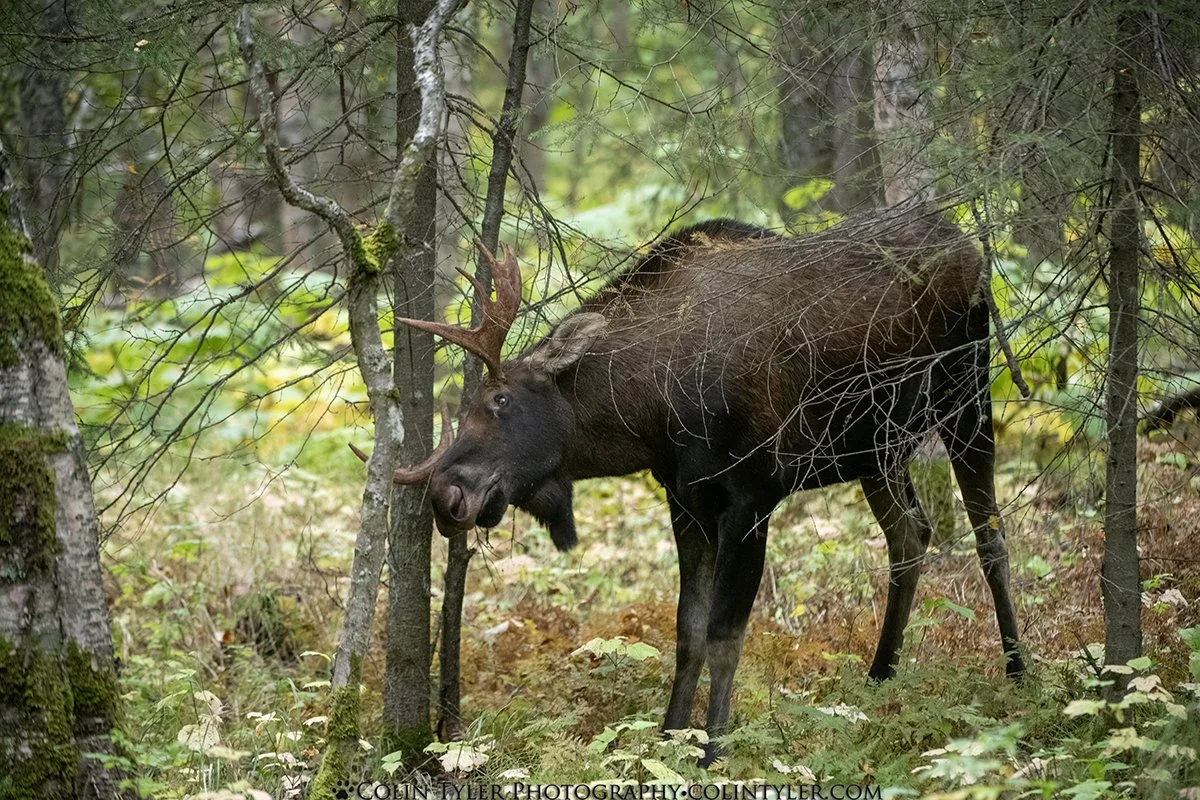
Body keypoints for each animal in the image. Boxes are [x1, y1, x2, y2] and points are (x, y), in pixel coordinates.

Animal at [366, 206, 1025, 764]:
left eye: (499, 400)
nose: (445, 494)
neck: (652, 414)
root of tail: (969, 243)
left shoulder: (754, 496)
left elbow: (725, 633)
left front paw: (714, 749)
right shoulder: (683, 499)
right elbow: (687, 629)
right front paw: (666, 739)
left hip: (967, 397)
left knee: (990, 536)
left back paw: (1019, 673)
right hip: (877, 449)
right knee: (910, 537)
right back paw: (879, 677)